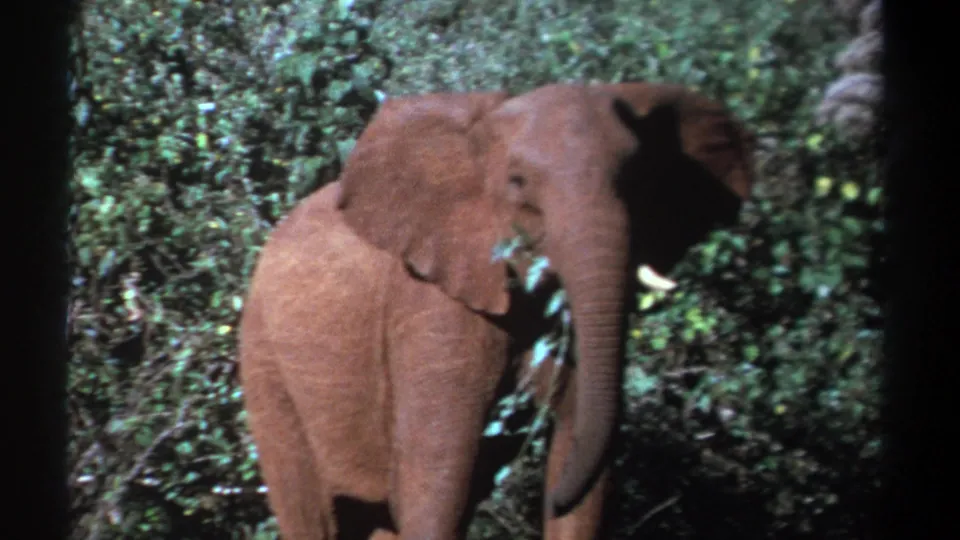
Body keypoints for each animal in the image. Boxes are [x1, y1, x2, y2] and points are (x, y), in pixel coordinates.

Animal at [237, 81, 755, 539]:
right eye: (518, 183)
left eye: (637, 182)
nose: (548, 501)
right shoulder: (431, 302)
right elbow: (438, 478)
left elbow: (582, 454)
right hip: (264, 362)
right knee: (313, 512)